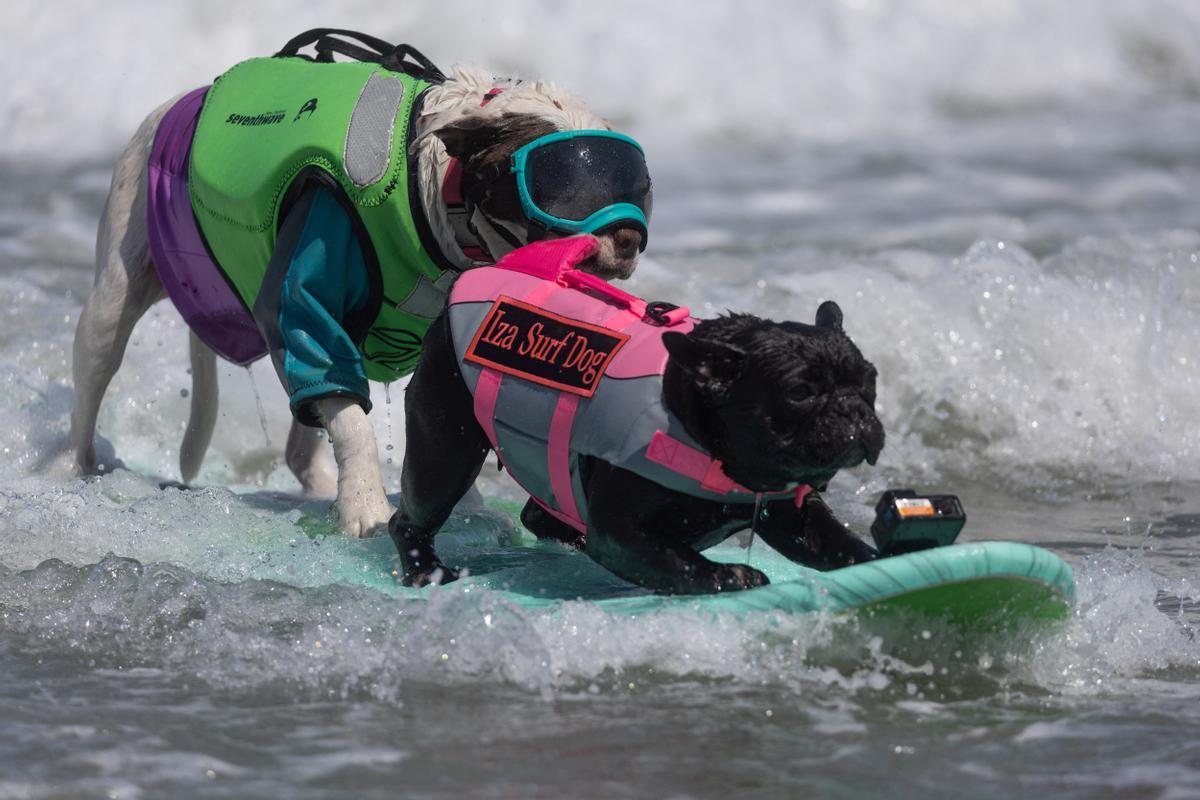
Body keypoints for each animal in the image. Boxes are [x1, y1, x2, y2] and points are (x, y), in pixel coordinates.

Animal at [60, 35, 652, 537]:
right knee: (97, 373)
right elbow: (351, 420)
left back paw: (320, 485)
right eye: (561, 186)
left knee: (306, 428)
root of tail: (180, 105)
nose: (629, 236)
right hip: (115, 291)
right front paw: (366, 504)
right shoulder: (309, 295)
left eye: (636, 184)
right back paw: (77, 474)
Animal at [391, 297, 883, 592]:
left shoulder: (788, 511)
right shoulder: (619, 532)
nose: (854, 410)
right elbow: (677, 560)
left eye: (870, 380)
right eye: (799, 393)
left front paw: (879, 558)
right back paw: (425, 571)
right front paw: (729, 574)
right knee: (414, 515)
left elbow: (833, 541)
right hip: (446, 451)